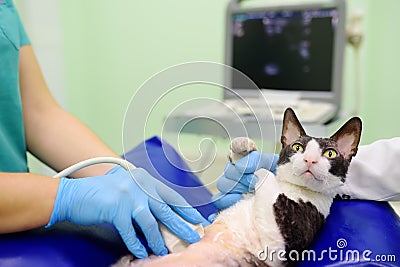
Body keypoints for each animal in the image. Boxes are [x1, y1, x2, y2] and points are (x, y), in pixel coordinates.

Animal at [113, 108, 362, 266]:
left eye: (330, 154)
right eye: (298, 147)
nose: (310, 160)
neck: (291, 188)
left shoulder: (278, 249)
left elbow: (267, 182)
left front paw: (262, 171)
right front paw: (243, 147)